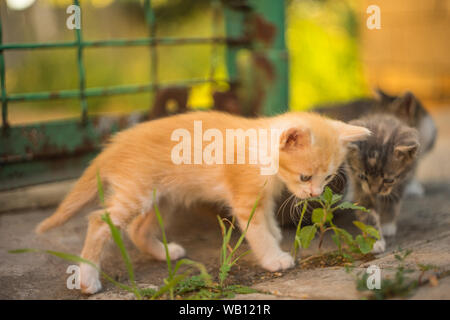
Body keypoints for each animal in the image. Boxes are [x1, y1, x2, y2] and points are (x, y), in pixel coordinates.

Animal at [36, 111, 370, 294]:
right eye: (304, 177)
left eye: (328, 178)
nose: (314, 195)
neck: (261, 148)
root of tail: (112, 146)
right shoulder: (246, 199)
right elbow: (258, 232)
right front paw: (274, 257)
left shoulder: (262, 197)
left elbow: (268, 220)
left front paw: (276, 236)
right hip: (137, 193)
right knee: (99, 220)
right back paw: (87, 278)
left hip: (162, 197)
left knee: (136, 230)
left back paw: (165, 252)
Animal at [344, 115, 422, 252]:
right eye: (362, 176)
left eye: (389, 180)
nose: (374, 191)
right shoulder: (359, 185)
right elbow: (367, 211)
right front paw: (374, 241)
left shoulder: (403, 180)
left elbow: (392, 200)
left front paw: (387, 224)